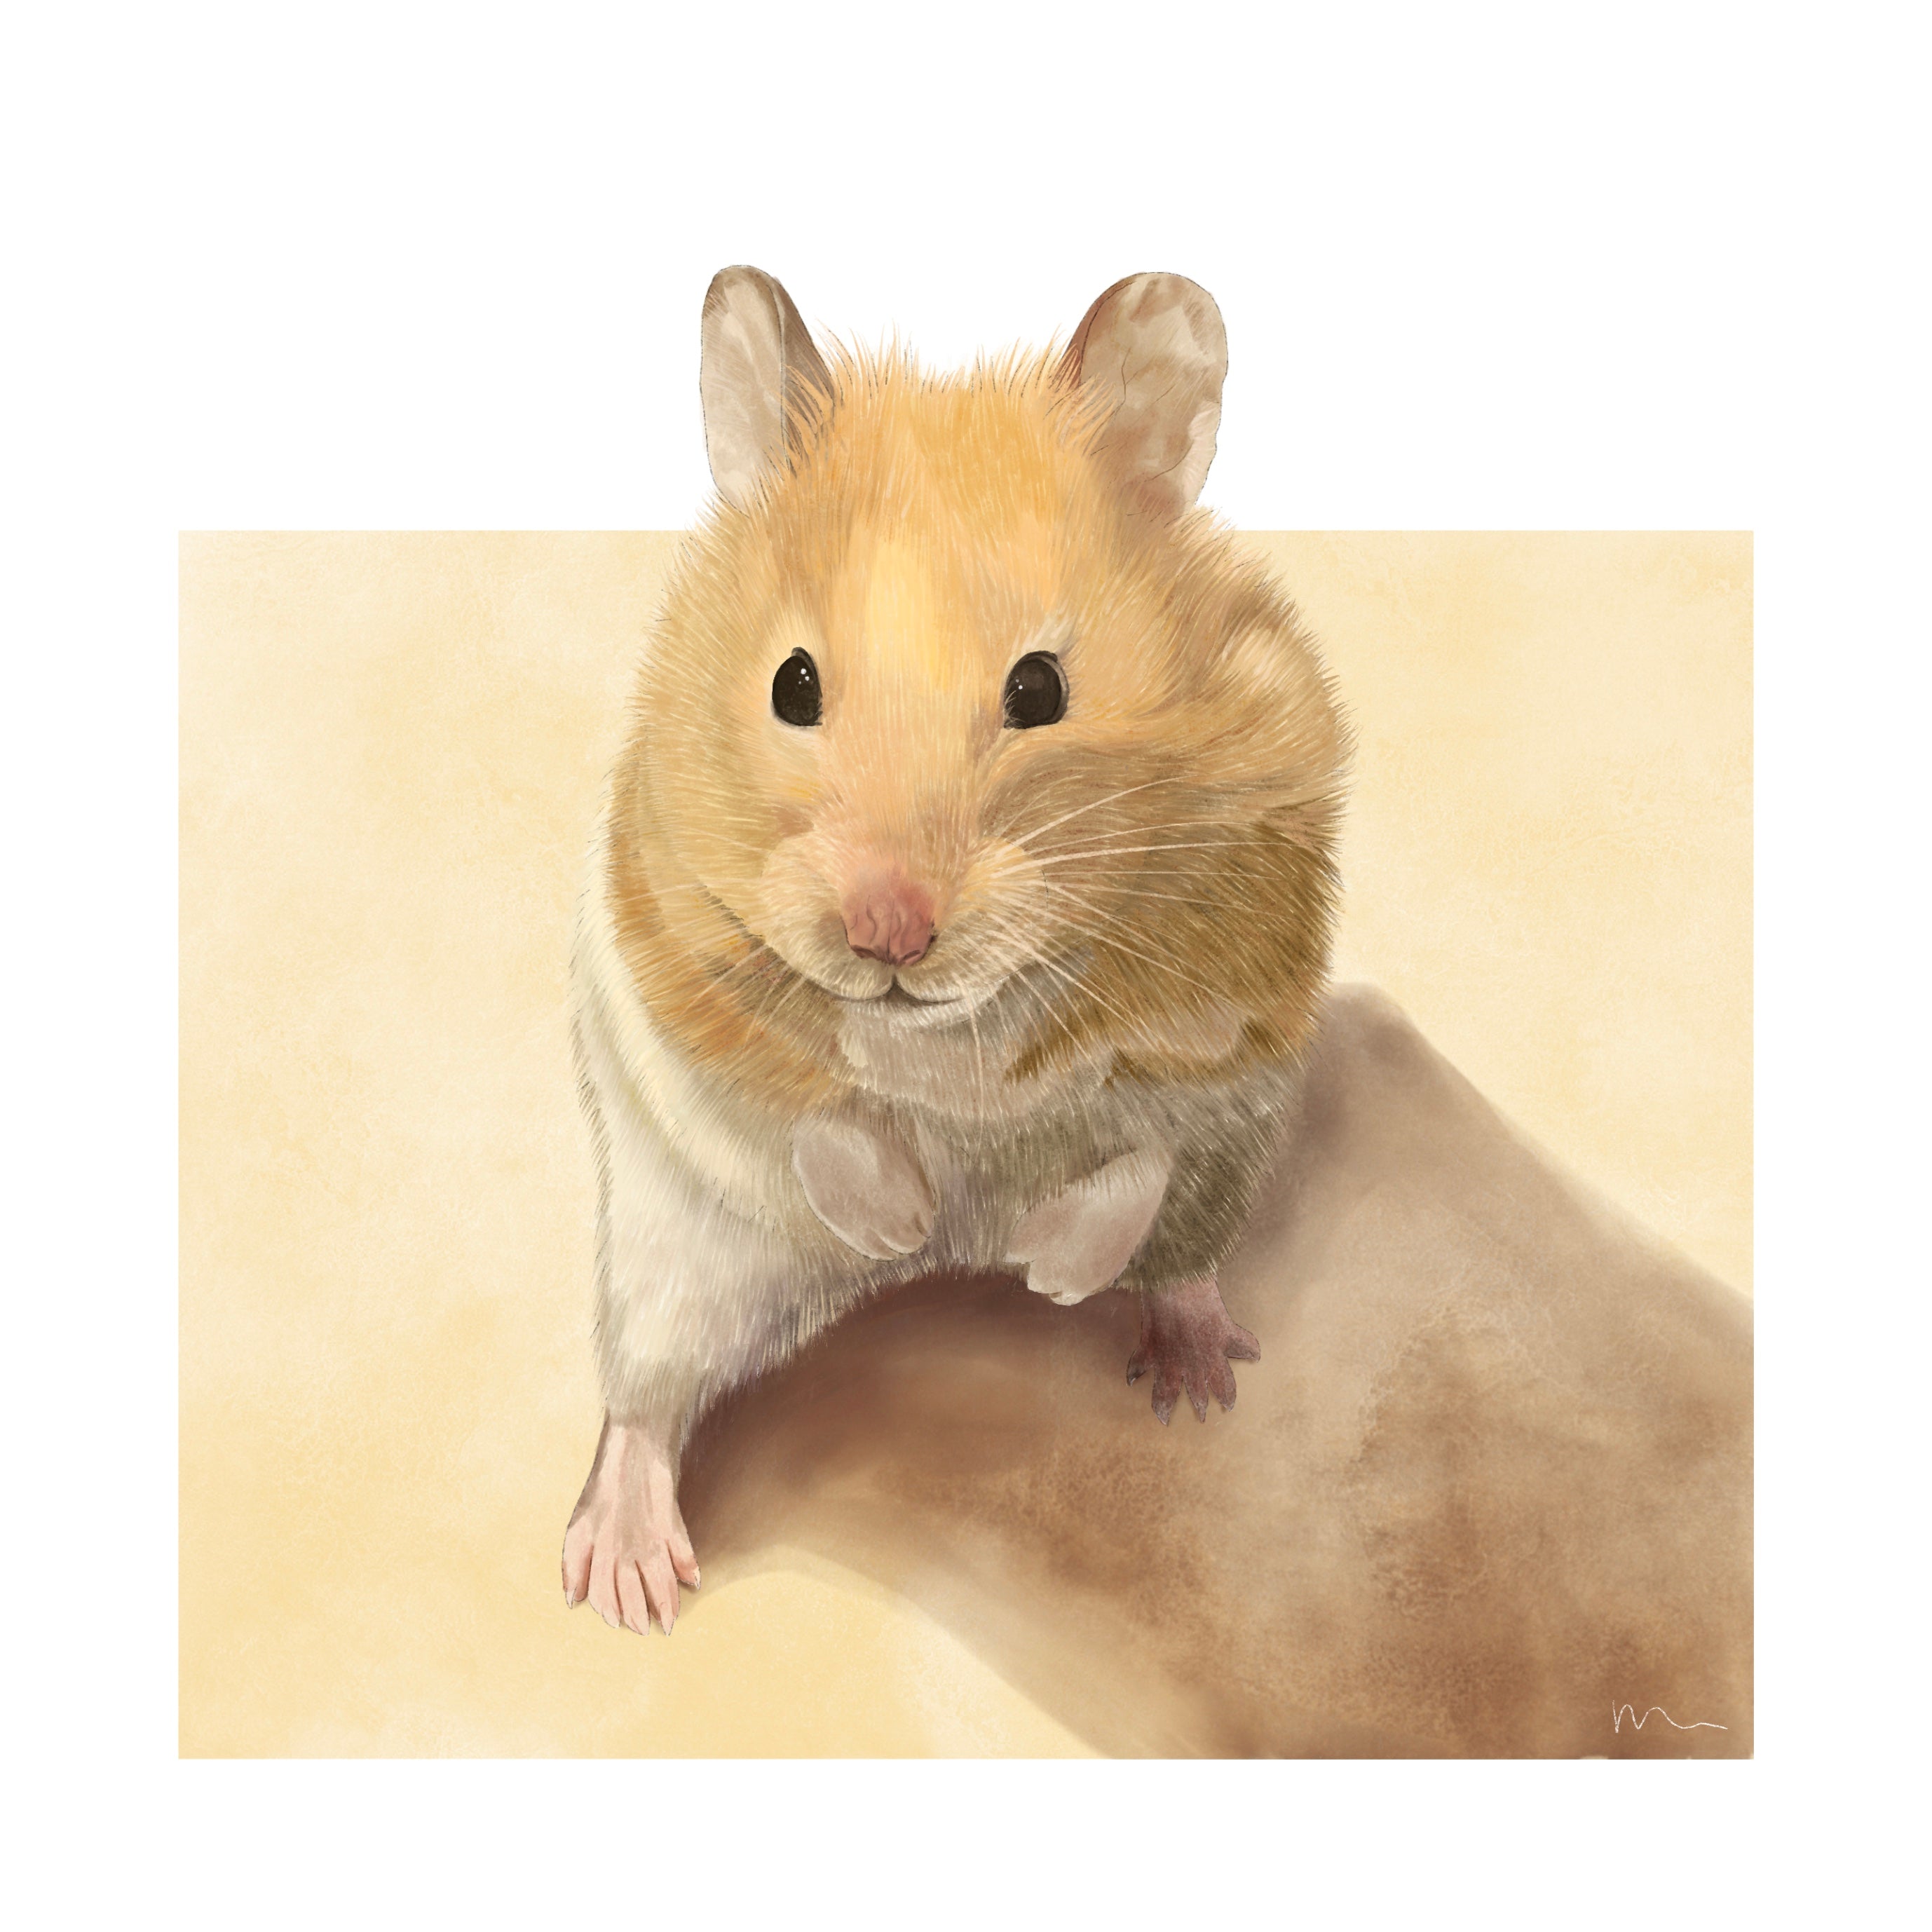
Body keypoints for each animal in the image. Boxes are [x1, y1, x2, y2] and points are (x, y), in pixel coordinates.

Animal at [562, 267, 1349, 1636]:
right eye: (793, 684)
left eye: (1040, 690)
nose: (887, 931)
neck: (958, 1024)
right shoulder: (673, 970)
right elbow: (816, 1116)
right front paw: (905, 1223)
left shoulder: (1232, 1015)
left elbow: (1134, 1155)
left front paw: (1043, 1269)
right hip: (669, 1265)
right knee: (645, 1402)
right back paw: (625, 1577)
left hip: (1228, 1183)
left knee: (1181, 1250)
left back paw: (1193, 1369)